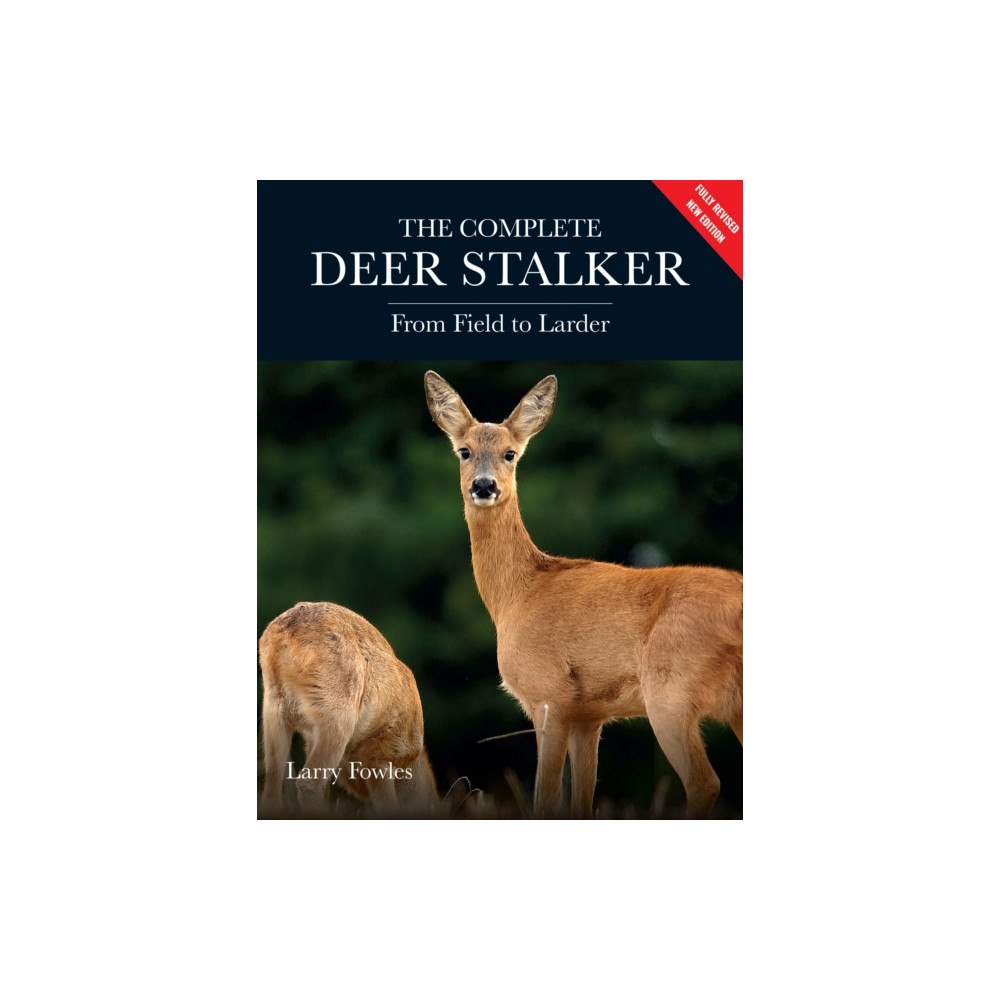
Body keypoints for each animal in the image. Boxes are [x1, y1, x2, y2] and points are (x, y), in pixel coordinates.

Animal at [259, 601, 475, 818]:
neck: (410, 759)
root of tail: (282, 635)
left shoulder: (311, 739)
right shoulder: (382, 754)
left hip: (274, 706)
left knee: (272, 785)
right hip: (336, 713)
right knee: (308, 783)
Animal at [424, 371, 743, 819]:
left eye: (510, 454)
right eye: (464, 451)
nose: (484, 486)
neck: (517, 596)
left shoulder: (548, 695)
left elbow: (546, 799)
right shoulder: (589, 714)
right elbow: (581, 801)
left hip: (671, 688)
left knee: (704, 781)